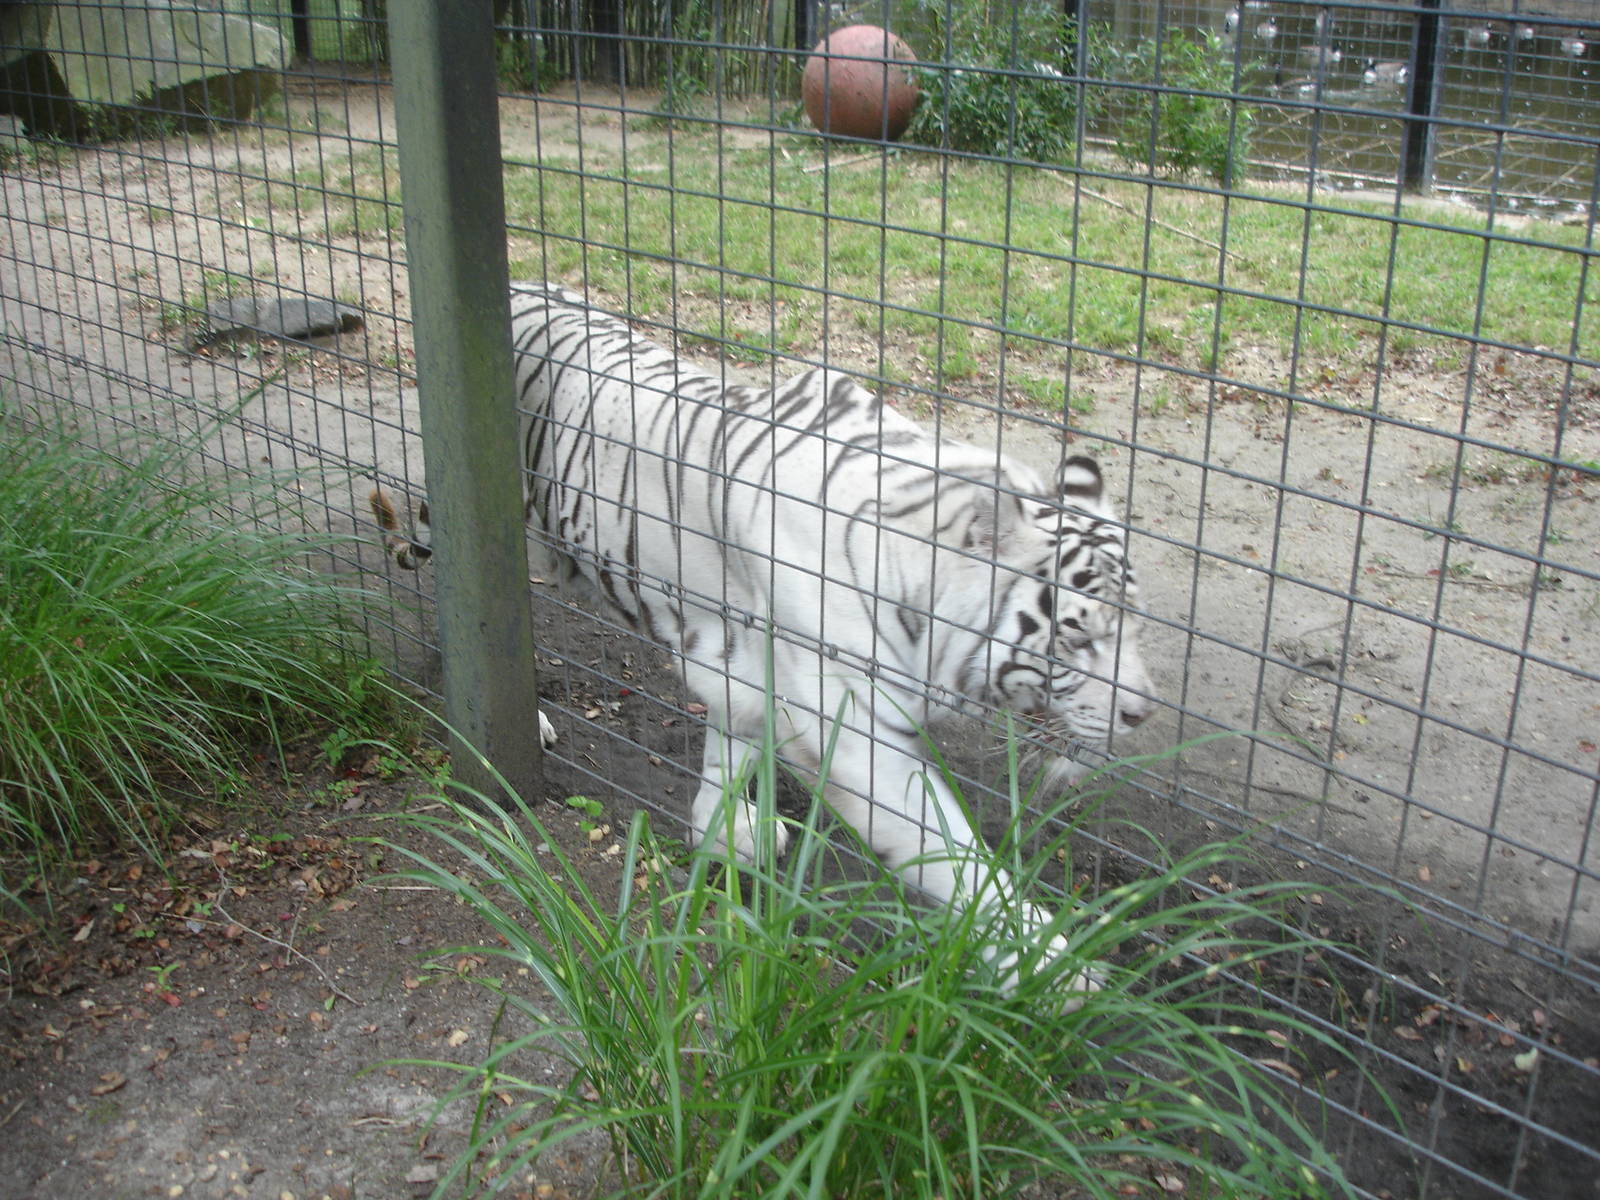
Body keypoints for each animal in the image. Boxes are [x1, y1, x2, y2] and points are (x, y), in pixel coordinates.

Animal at [374, 282, 1155, 989]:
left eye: (1133, 621)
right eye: (1077, 635)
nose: (1142, 714)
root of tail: (520, 285)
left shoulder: (749, 664)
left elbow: (732, 747)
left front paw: (722, 832)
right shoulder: (849, 728)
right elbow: (953, 857)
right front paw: (1053, 967)